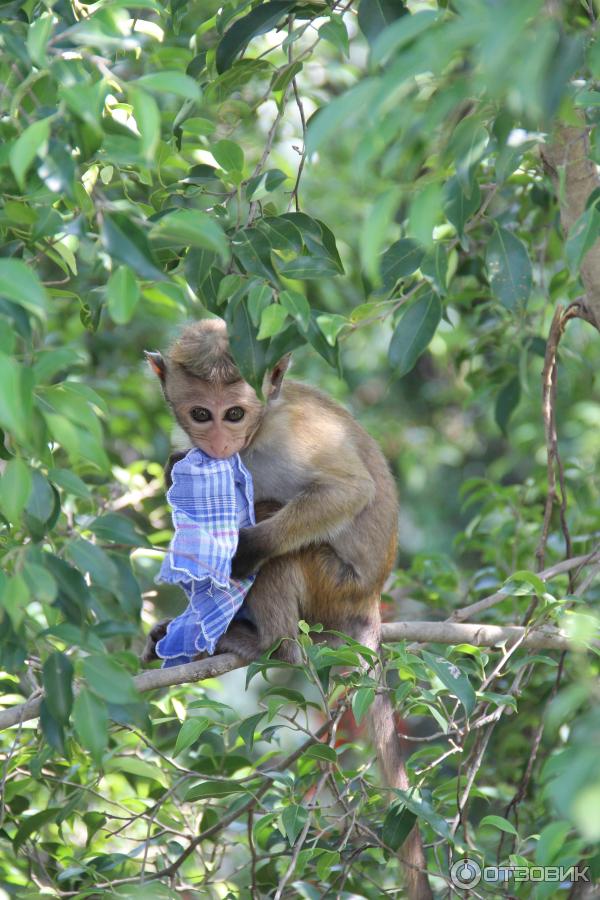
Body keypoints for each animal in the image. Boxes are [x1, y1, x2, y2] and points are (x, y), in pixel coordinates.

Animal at [143, 318, 434, 900]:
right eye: (200, 414)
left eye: (234, 413)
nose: (218, 441)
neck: (257, 436)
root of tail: (370, 597)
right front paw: (175, 468)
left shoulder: (294, 436)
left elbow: (350, 490)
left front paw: (246, 549)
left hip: (333, 584)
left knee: (276, 520)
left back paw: (268, 641)